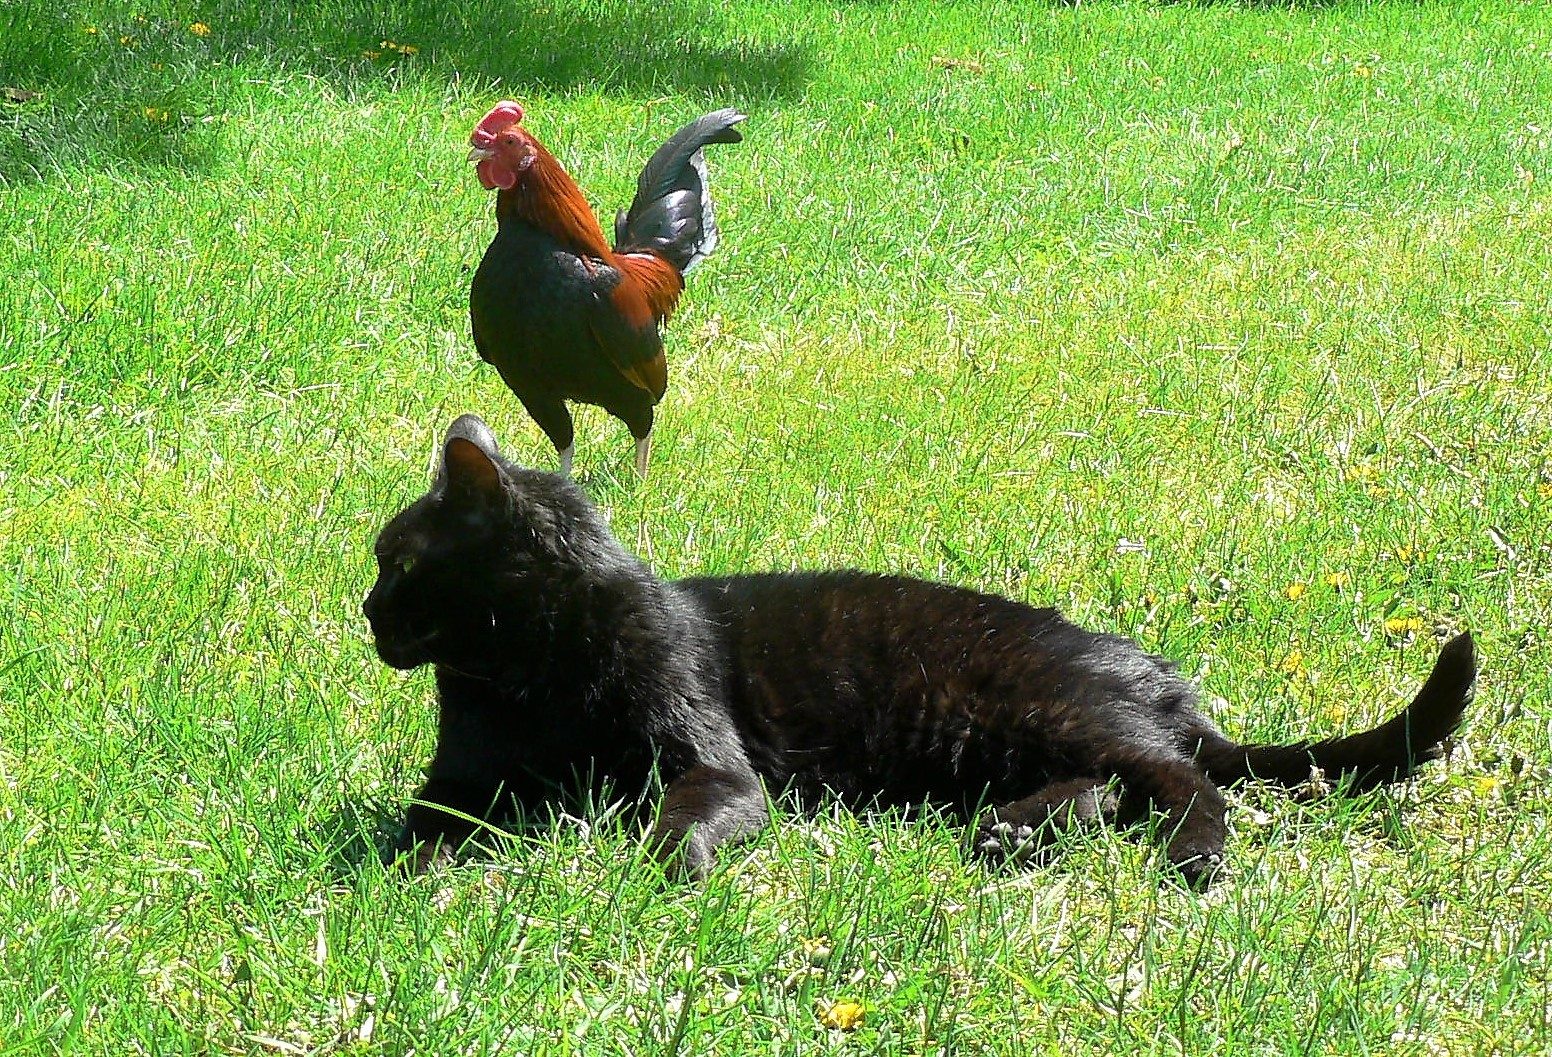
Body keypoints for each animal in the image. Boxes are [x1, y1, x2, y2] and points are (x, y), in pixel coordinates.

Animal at [362, 415, 1476, 886]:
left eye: (396, 561)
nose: (363, 612)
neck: (528, 674)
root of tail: (1161, 679)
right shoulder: (460, 781)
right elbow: (426, 826)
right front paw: (406, 874)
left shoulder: (716, 767)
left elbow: (674, 821)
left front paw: (657, 866)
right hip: (1001, 742)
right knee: (1110, 787)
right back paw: (1013, 836)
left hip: (1036, 703)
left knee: (1183, 780)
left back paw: (1191, 856)